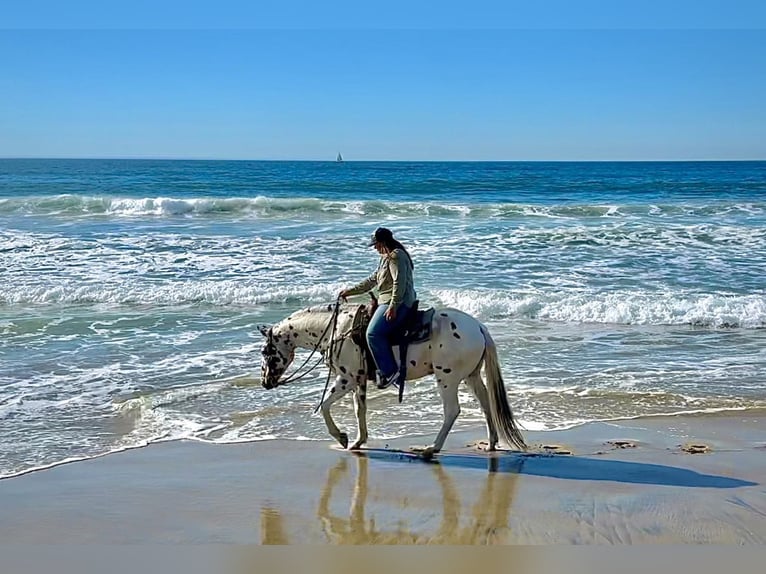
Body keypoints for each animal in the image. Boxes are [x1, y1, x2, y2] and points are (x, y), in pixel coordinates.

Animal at [258, 302, 528, 460]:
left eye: (265, 351)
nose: (265, 382)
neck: (337, 330)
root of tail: (479, 327)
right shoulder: (358, 382)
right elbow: (359, 410)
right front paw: (358, 441)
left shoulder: (346, 378)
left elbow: (324, 405)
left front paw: (341, 437)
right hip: (471, 377)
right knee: (486, 403)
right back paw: (491, 443)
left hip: (447, 378)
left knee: (452, 411)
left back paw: (431, 449)